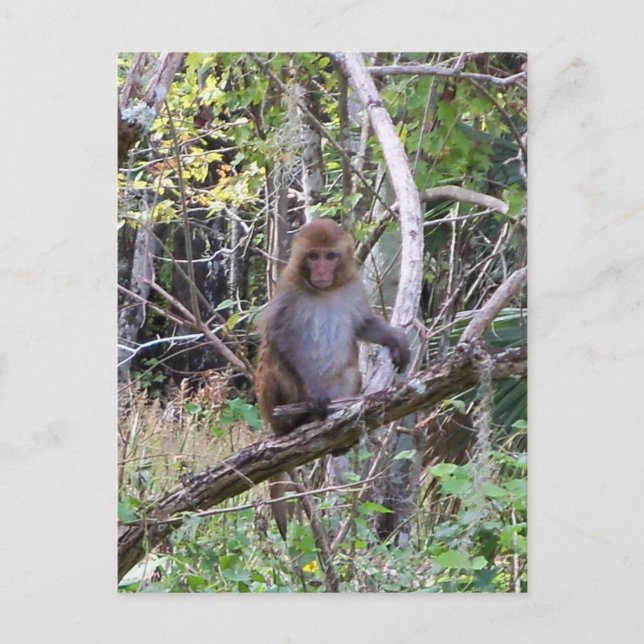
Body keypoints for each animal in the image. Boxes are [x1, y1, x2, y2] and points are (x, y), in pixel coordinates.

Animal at [255, 218, 409, 539]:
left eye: (330, 256)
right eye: (313, 256)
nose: (322, 271)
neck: (324, 291)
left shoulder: (353, 286)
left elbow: (363, 324)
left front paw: (394, 339)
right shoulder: (288, 288)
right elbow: (279, 336)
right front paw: (314, 390)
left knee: (349, 371)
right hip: (270, 401)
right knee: (275, 358)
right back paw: (291, 422)